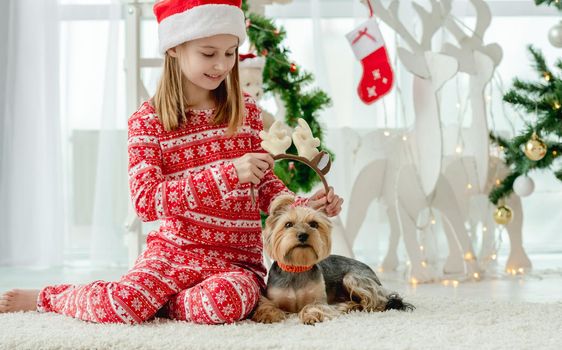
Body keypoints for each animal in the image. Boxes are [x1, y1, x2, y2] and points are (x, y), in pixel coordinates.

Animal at [252, 194, 414, 326]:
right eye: (288, 224)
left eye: (314, 224)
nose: (303, 235)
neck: (297, 267)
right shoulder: (273, 296)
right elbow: (266, 305)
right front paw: (268, 315)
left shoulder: (319, 299)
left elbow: (313, 306)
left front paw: (311, 316)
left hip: (353, 278)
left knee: (378, 301)